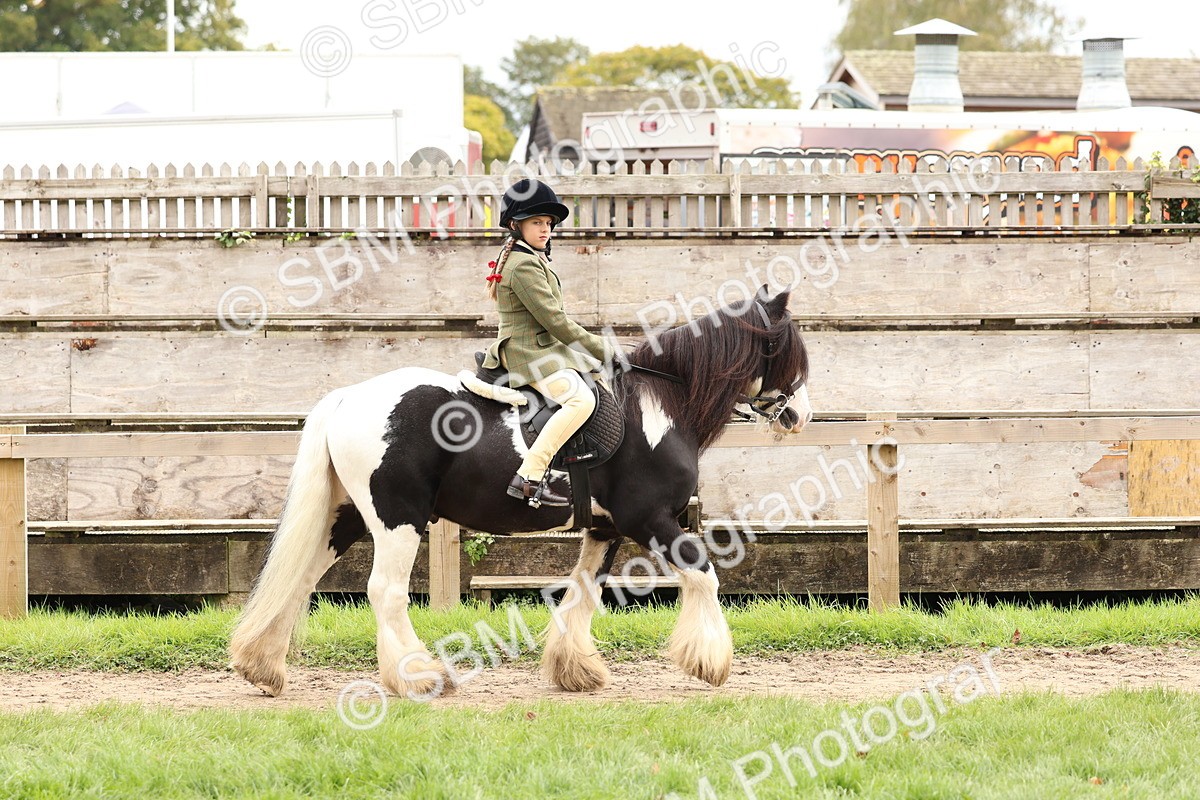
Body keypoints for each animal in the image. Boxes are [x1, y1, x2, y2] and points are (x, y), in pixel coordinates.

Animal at [229, 285, 811, 698]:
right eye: (786, 349)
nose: (800, 417)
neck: (661, 405)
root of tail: (349, 397)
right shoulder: (647, 518)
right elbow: (704, 574)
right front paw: (710, 662)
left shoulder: (606, 528)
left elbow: (585, 590)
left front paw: (575, 671)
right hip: (398, 519)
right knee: (385, 592)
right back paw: (420, 677)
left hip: (348, 516)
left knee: (301, 579)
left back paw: (263, 667)